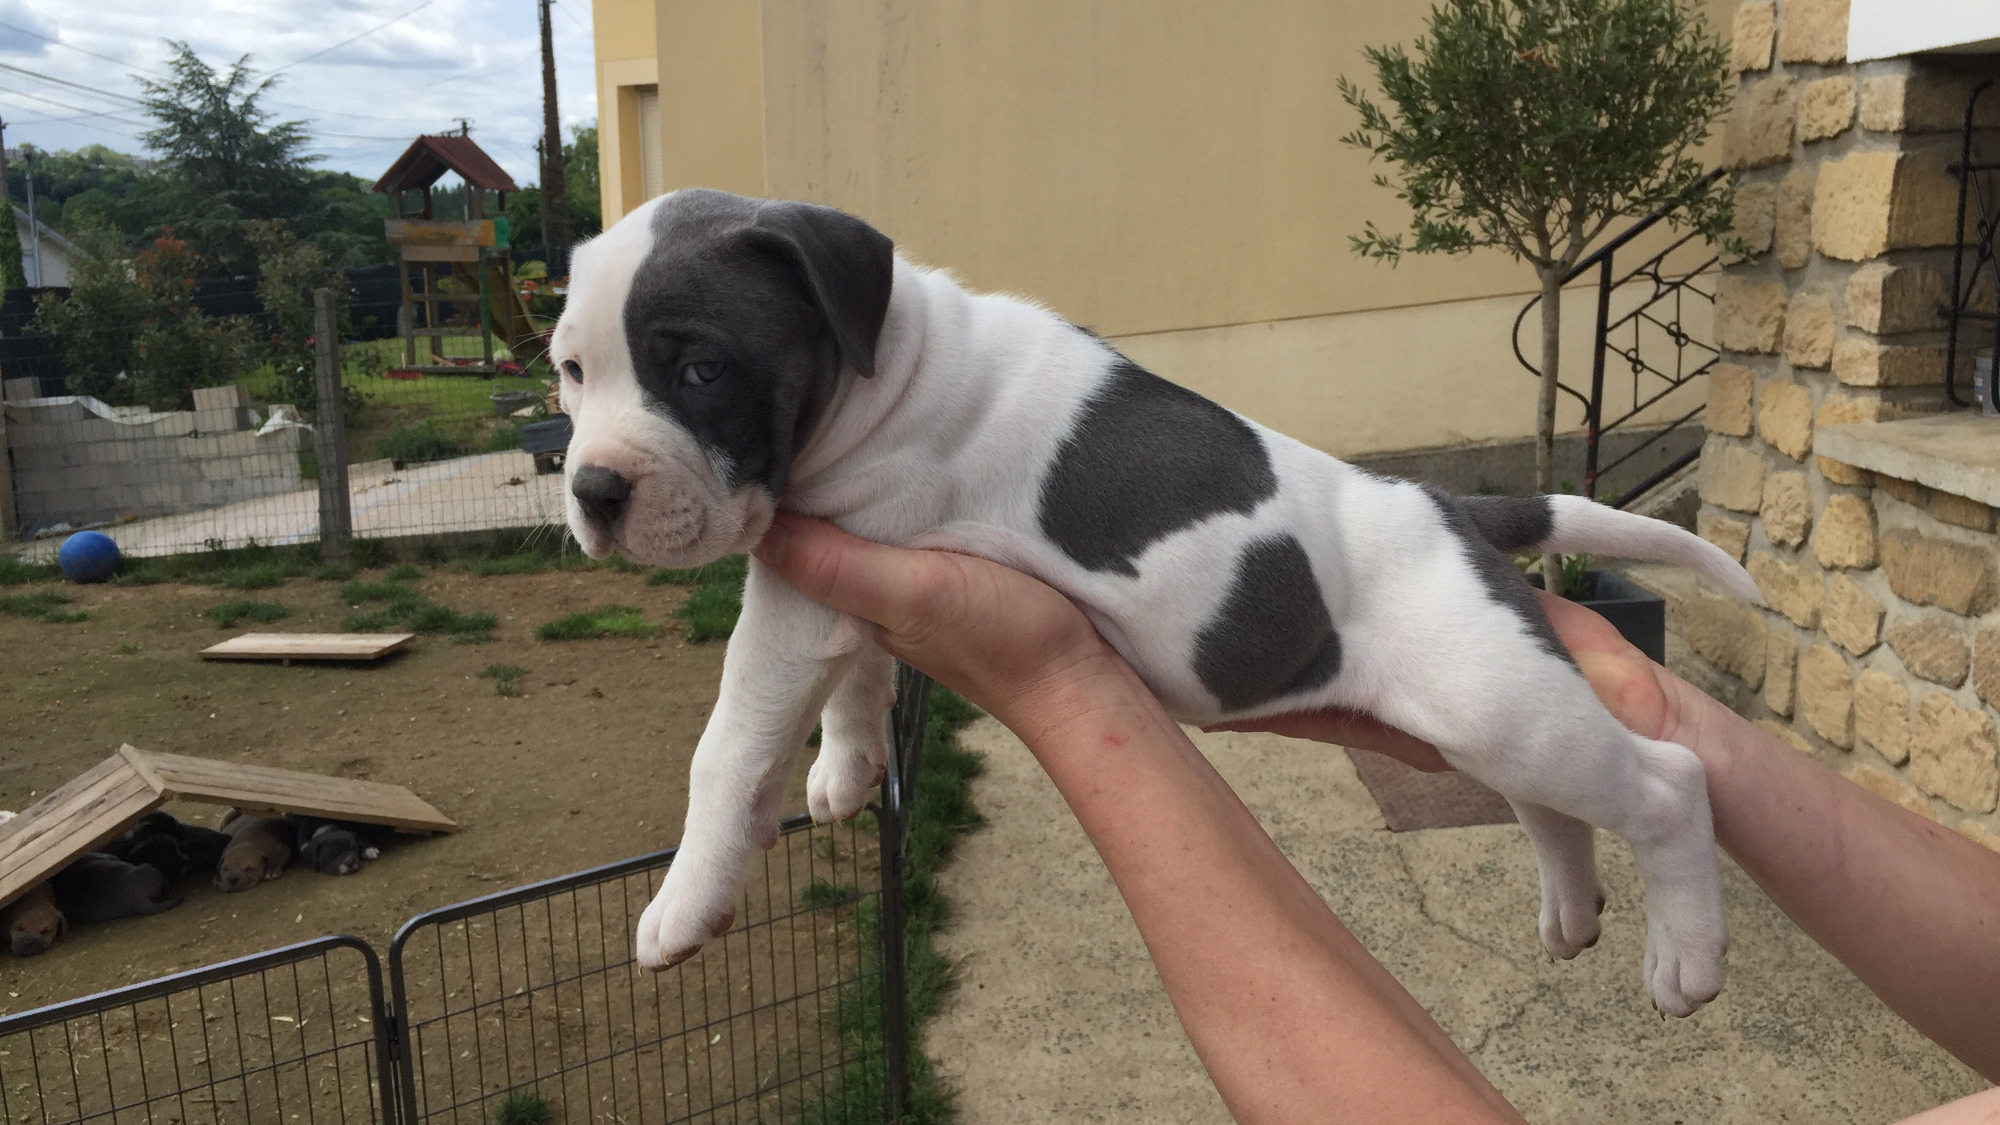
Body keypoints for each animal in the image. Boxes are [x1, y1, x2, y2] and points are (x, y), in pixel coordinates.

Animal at [556, 186, 1760, 1016]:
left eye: (699, 370)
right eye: (570, 372)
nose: (592, 491)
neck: (886, 365)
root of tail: (1447, 506)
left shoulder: (809, 583)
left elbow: (727, 745)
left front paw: (683, 903)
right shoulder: (837, 571)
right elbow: (860, 674)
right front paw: (845, 768)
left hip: (1496, 701)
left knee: (1667, 781)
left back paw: (1688, 958)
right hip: (1483, 707)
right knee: (1550, 799)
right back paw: (1572, 910)